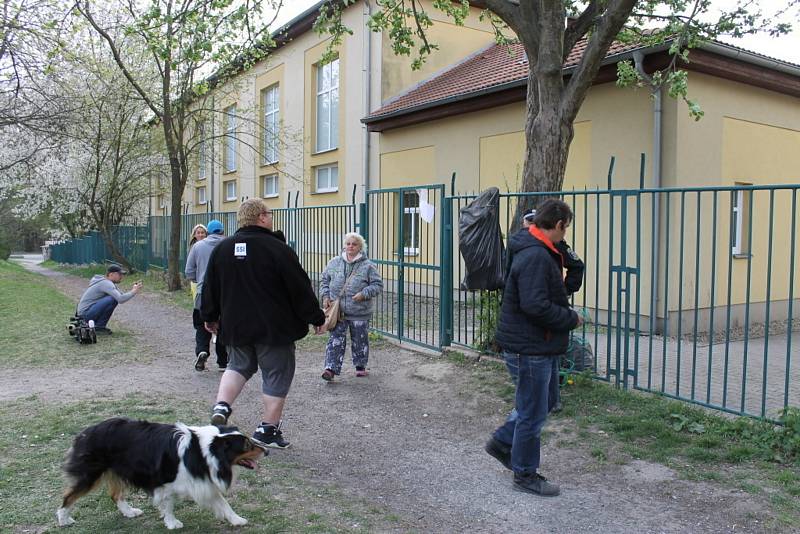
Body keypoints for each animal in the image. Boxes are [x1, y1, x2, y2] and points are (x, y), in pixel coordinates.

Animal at [57, 418, 268, 532]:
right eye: (247, 446)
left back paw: (129, 512)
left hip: (118, 470)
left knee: (115, 495)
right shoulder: (164, 484)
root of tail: (85, 431)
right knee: (69, 496)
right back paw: (63, 519)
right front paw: (172, 523)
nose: (266, 451)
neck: (202, 451)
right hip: (91, 474)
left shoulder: (202, 482)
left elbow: (223, 504)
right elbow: (168, 505)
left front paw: (237, 520)